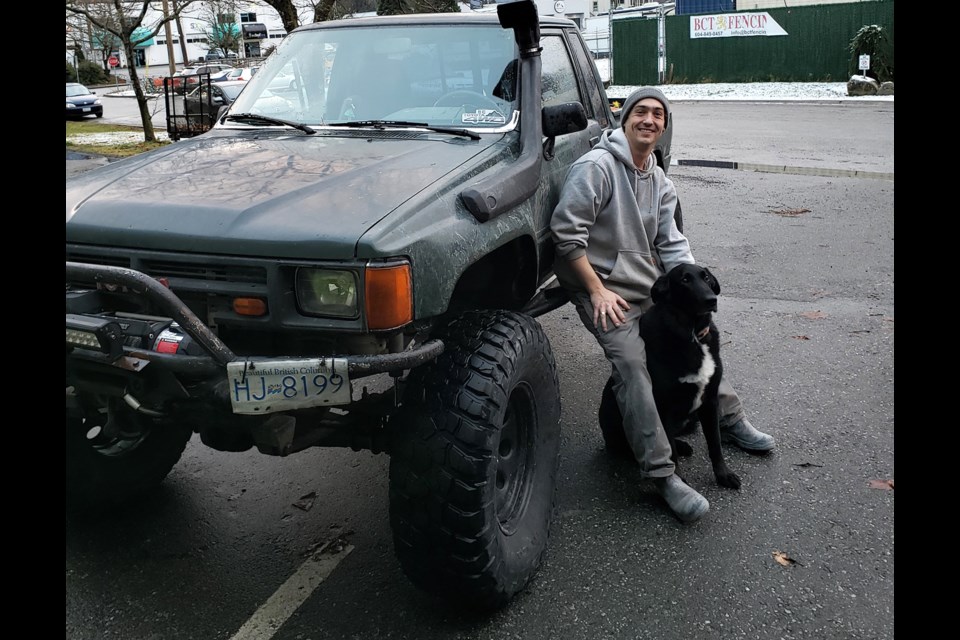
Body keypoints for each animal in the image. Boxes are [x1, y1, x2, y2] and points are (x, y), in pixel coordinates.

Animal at [596, 264, 740, 490]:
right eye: (684, 280)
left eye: (706, 277)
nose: (711, 300)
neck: (692, 335)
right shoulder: (663, 408)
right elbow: (669, 451)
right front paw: (680, 482)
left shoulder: (710, 402)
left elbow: (715, 443)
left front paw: (723, 475)